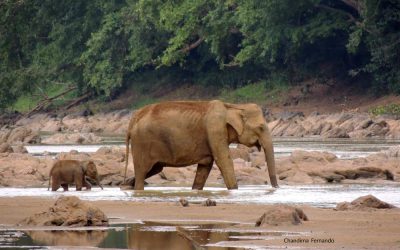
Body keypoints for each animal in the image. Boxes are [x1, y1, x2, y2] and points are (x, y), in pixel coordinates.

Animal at [122, 99, 278, 189]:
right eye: (261, 127)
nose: (276, 188)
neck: (233, 106)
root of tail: (133, 120)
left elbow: (205, 166)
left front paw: (196, 190)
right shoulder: (215, 130)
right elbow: (224, 161)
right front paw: (234, 190)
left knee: (154, 169)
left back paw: (127, 185)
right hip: (142, 143)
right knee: (143, 171)